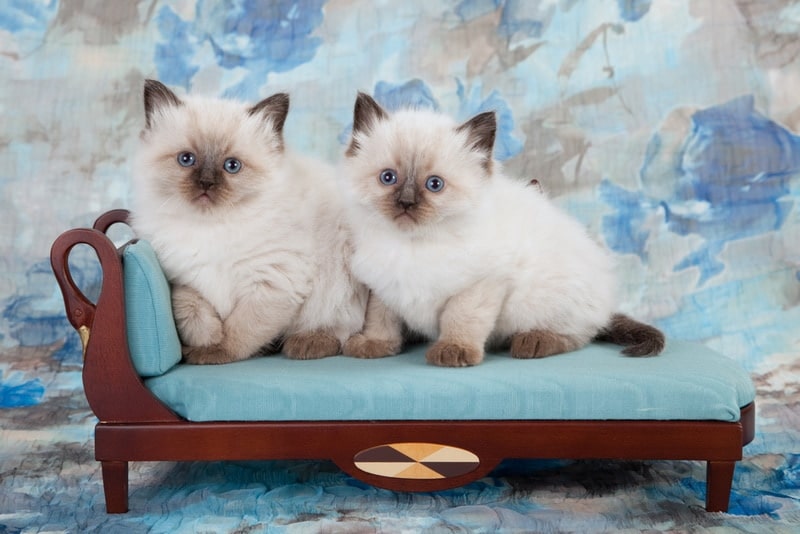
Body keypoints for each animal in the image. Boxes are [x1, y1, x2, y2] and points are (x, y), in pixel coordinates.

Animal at [132, 78, 368, 364]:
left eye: (232, 166)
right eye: (186, 159)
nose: (206, 184)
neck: (211, 227)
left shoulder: (272, 283)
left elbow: (240, 332)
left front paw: (213, 353)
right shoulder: (184, 280)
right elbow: (189, 309)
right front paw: (205, 340)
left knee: (340, 331)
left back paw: (306, 343)